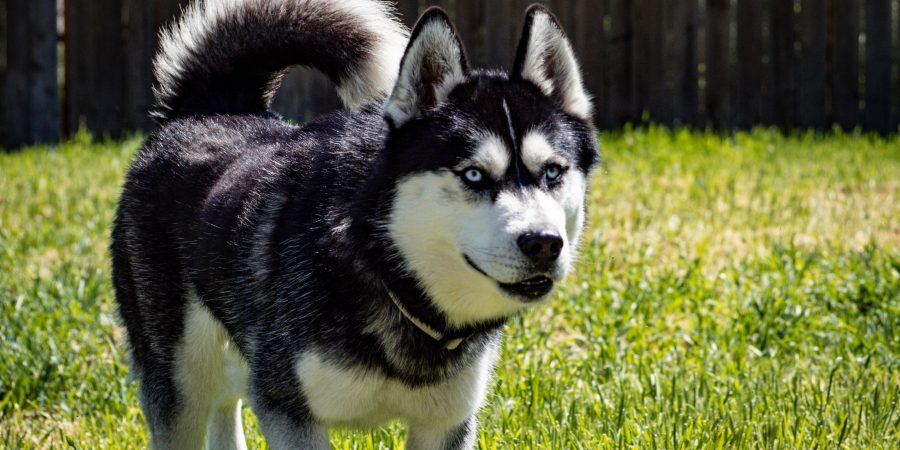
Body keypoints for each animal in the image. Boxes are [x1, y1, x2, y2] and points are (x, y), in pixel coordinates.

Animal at [112, 1, 596, 448]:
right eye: (474, 174)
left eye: (553, 172)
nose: (543, 243)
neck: (387, 269)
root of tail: (210, 108)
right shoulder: (287, 407)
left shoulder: (445, 422)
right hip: (181, 379)